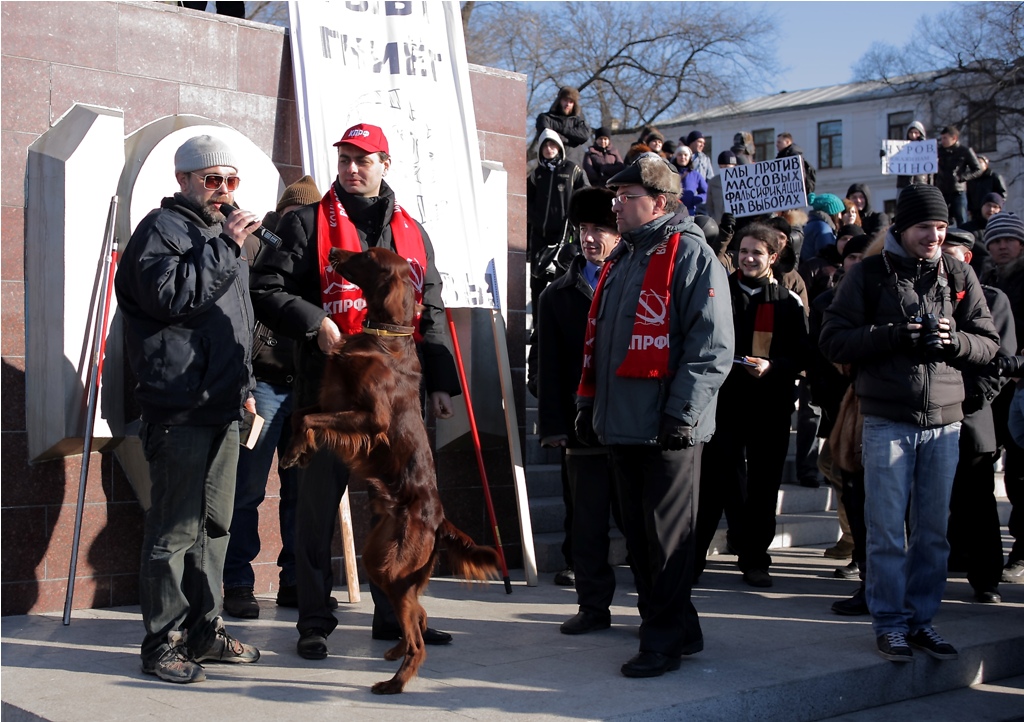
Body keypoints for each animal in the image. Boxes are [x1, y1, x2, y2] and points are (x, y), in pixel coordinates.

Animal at [282, 247, 497, 692]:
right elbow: (299, 414)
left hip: (391, 567)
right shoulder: (332, 401)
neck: (383, 337)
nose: (334, 252)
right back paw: (395, 652)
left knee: (418, 634)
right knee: (419, 615)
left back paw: (395, 683)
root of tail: (439, 519)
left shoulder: (372, 418)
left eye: (367, 256)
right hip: (377, 554)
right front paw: (301, 453)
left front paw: (296, 452)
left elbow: (307, 419)